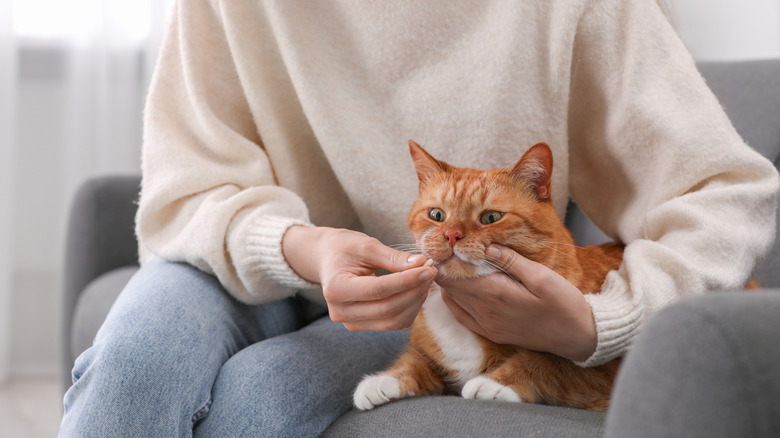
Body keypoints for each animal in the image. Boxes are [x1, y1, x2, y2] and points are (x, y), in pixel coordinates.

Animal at [356, 139, 624, 410]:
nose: (451, 235)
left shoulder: (598, 367)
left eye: (491, 217)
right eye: (437, 215)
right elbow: (413, 361)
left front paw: (493, 384)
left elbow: (546, 362)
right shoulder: (427, 356)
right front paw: (381, 382)